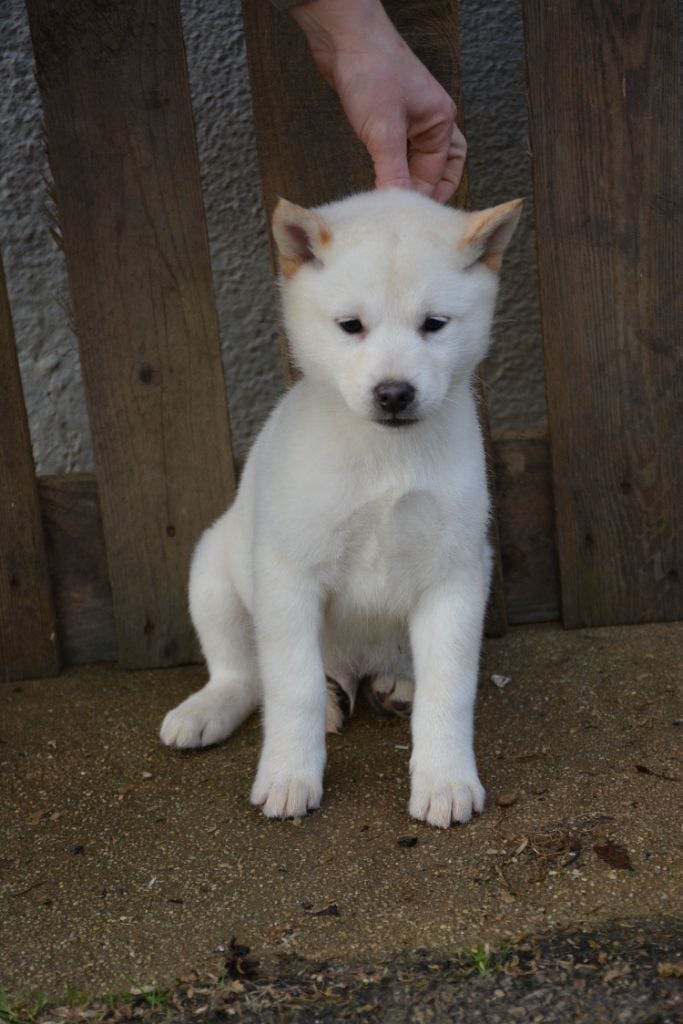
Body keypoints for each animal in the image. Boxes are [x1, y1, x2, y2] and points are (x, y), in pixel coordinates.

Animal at [161, 188, 524, 827]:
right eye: (350, 326)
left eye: (434, 324)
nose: (394, 393)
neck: (386, 457)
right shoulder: (289, 576)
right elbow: (292, 687)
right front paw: (289, 774)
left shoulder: (455, 574)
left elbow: (449, 688)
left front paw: (445, 778)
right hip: (212, 574)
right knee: (244, 675)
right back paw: (215, 709)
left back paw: (394, 684)